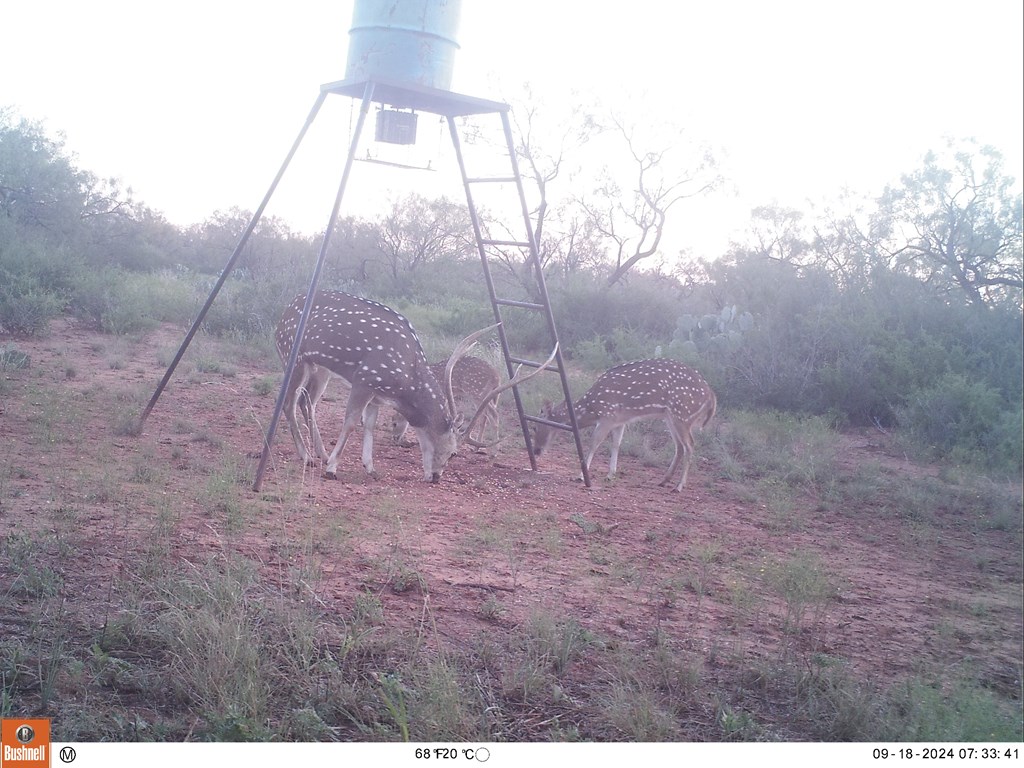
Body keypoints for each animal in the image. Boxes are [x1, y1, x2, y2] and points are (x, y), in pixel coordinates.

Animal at [276, 290, 552, 483]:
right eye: (452, 452)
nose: (436, 477)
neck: (403, 386)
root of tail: (285, 310)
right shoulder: (365, 379)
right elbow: (352, 422)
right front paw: (333, 469)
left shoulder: (377, 394)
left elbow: (370, 426)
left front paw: (371, 468)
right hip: (294, 355)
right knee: (289, 402)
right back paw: (308, 456)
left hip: (320, 368)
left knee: (307, 402)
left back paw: (319, 454)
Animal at [532, 360, 716, 493]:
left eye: (535, 426)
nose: (536, 451)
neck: (591, 409)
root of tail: (711, 396)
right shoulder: (619, 421)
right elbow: (616, 444)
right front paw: (610, 474)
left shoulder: (607, 415)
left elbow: (593, 443)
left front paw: (579, 476)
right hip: (671, 417)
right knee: (679, 446)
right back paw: (664, 480)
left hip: (682, 413)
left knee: (690, 445)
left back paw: (678, 486)